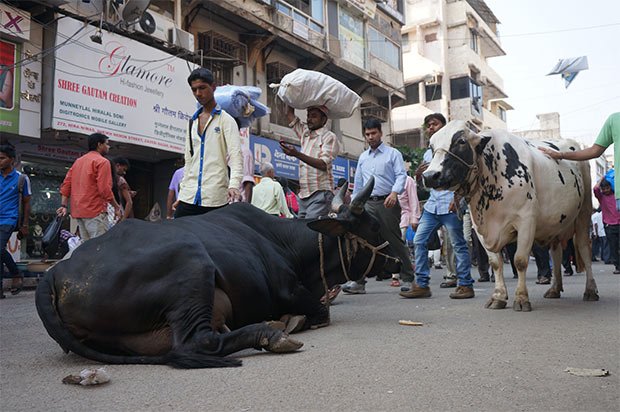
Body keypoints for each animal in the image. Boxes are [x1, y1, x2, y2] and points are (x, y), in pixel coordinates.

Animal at [36, 177, 400, 366]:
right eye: (372, 225)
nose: (400, 260)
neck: (289, 244)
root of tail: (55, 273)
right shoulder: (289, 289)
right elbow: (321, 311)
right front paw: (291, 321)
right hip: (191, 264)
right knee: (196, 343)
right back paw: (270, 333)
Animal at [424, 120, 600, 310]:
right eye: (431, 146)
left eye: (461, 141)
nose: (430, 176)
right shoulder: (480, 228)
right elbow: (496, 263)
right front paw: (498, 296)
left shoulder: (526, 221)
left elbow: (520, 260)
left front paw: (521, 298)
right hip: (555, 223)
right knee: (556, 252)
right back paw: (555, 288)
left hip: (584, 213)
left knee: (584, 249)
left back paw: (590, 290)